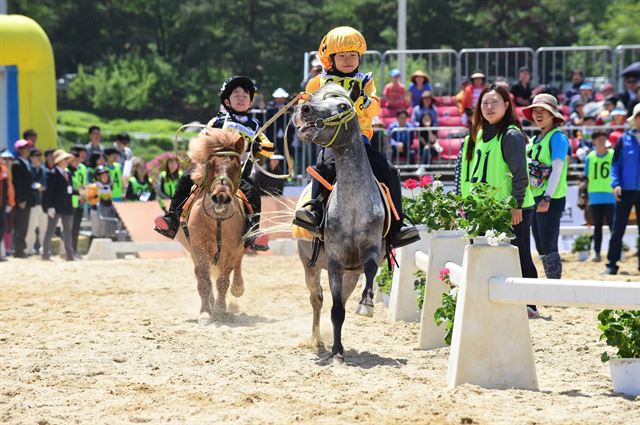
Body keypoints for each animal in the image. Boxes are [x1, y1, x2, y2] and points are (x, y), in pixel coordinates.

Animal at [178, 127, 248, 320]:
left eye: (237, 165)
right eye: (210, 164)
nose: (221, 197)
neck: (216, 220)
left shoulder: (231, 250)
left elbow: (223, 281)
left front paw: (220, 310)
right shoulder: (198, 248)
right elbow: (204, 280)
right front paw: (205, 311)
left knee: (237, 265)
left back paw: (238, 288)